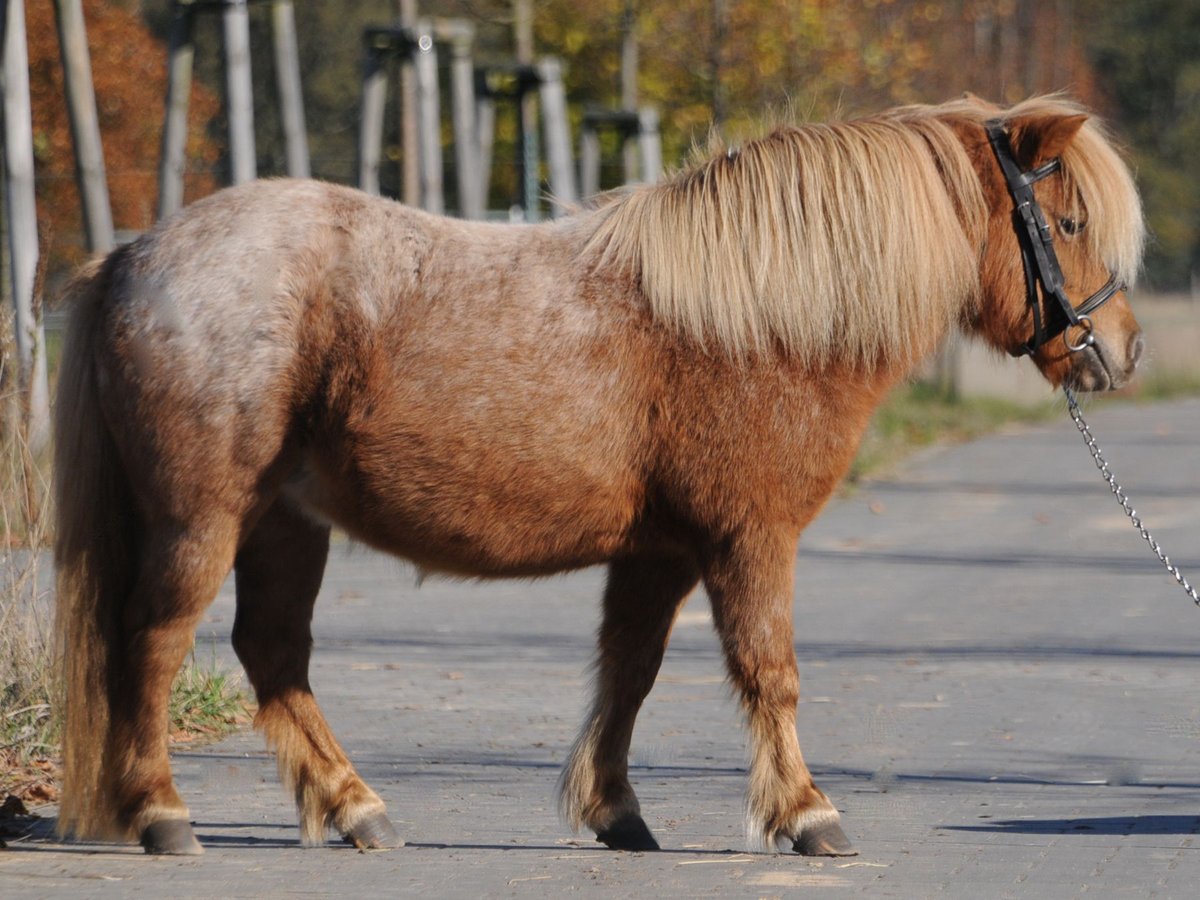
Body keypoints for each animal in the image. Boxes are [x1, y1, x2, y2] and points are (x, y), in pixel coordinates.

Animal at [54, 97, 1142, 859]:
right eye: (1070, 221)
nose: (1122, 354)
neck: (761, 318)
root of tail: (135, 256)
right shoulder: (748, 541)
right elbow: (770, 673)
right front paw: (807, 815)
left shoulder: (661, 553)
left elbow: (630, 672)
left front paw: (615, 810)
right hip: (203, 516)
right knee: (154, 642)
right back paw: (163, 814)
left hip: (286, 520)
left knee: (272, 653)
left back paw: (358, 808)